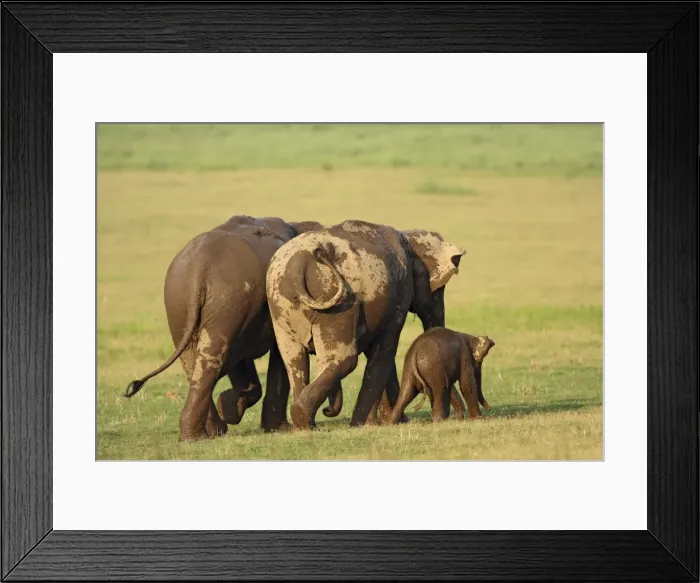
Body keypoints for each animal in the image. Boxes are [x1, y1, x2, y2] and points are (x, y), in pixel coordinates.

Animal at [124, 215, 324, 442]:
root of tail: (197, 271)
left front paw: (230, 406)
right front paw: (276, 428)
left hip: (186, 304)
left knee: (197, 361)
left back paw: (211, 430)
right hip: (224, 299)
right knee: (212, 358)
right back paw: (200, 435)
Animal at [265, 219, 465, 429]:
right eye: (439, 290)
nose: (457, 417)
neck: (408, 237)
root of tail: (299, 265)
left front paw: (388, 421)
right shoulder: (398, 297)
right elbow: (384, 351)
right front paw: (363, 425)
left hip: (280, 303)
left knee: (294, 359)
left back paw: (304, 424)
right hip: (336, 302)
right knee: (344, 359)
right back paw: (304, 417)